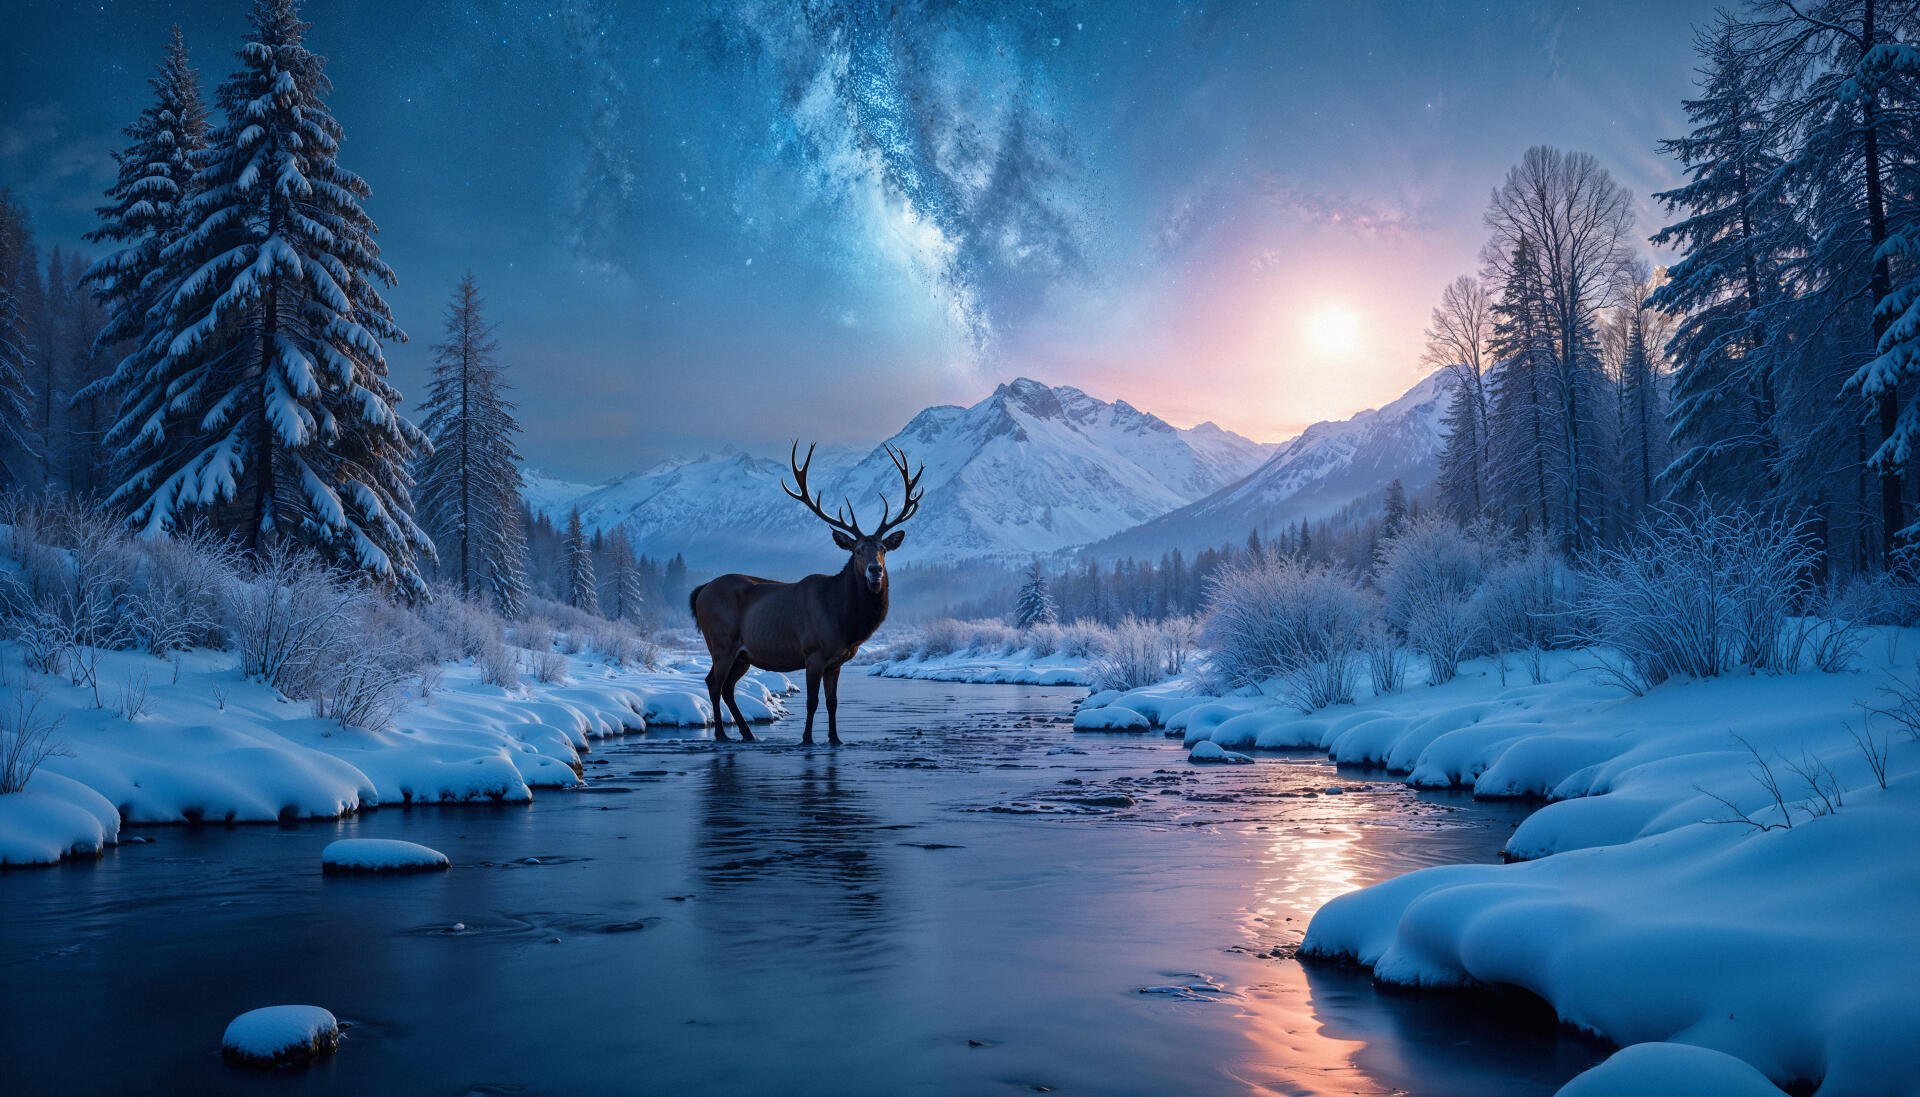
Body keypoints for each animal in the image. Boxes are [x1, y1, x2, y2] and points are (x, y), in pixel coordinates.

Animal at [688, 442, 924, 745]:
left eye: (883, 549)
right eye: (858, 550)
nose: (875, 570)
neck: (846, 622)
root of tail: (701, 591)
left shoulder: (837, 662)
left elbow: (833, 702)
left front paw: (835, 739)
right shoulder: (813, 652)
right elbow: (812, 702)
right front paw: (807, 738)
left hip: (742, 655)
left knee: (727, 687)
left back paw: (748, 734)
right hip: (720, 642)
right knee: (713, 684)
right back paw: (720, 734)